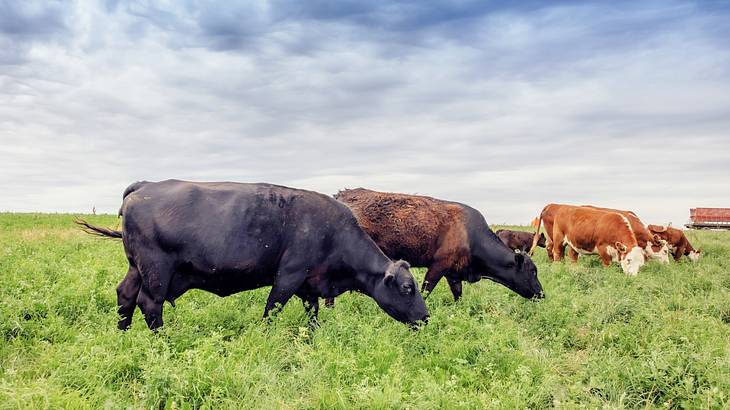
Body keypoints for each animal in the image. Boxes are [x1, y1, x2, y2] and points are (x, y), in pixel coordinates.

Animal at [75, 179, 426, 330]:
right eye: (408, 288)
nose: (425, 317)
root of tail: (145, 185)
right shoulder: (289, 276)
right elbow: (272, 310)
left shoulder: (310, 284)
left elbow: (312, 315)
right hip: (156, 271)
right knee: (150, 304)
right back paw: (162, 340)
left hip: (137, 268)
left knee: (125, 295)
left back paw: (123, 334)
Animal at [328, 187, 544, 302]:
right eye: (532, 271)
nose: (542, 294)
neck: (470, 234)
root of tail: (341, 195)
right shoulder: (438, 265)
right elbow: (426, 290)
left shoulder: (453, 273)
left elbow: (458, 295)